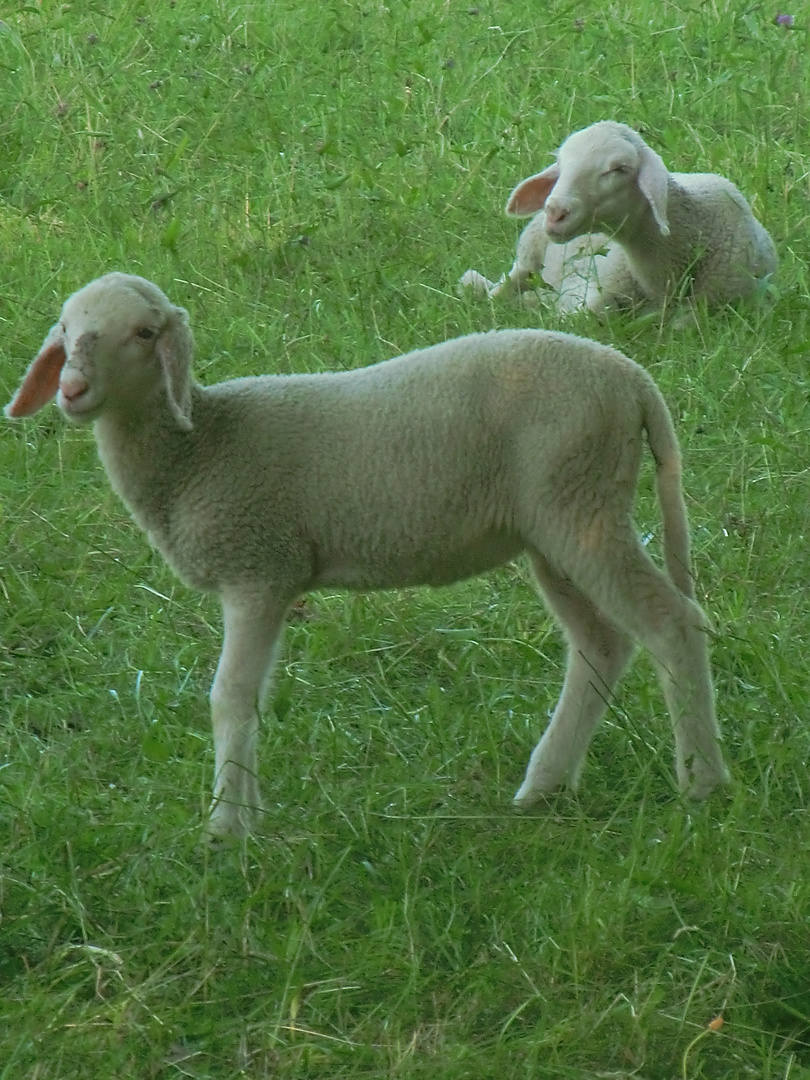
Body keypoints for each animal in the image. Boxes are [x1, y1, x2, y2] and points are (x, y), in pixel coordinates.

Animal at [4, 272, 730, 833]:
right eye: (65, 329)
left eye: (145, 334)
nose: (70, 390)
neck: (200, 447)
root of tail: (632, 379)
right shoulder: (267, 576)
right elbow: (248, 698)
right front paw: (246, 815)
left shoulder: (260, 567)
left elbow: (231, 698)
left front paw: (228, 829)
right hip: (554, 523)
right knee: (603, 643)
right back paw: (544, 785)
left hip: (580, 504)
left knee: (670, 623)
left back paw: (702, 784)